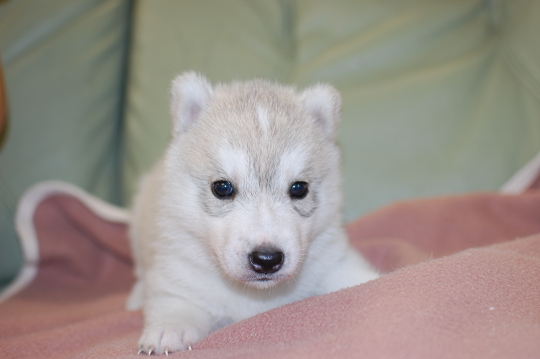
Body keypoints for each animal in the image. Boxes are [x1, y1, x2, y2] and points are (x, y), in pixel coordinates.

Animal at [128, 71, 378, 356]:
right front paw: (168, 330)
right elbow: (175, 303)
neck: (255, 296)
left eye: (299, 188)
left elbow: (356, 276)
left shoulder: (332, 261)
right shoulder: (176, 273)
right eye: (222, 187)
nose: (267, 259)